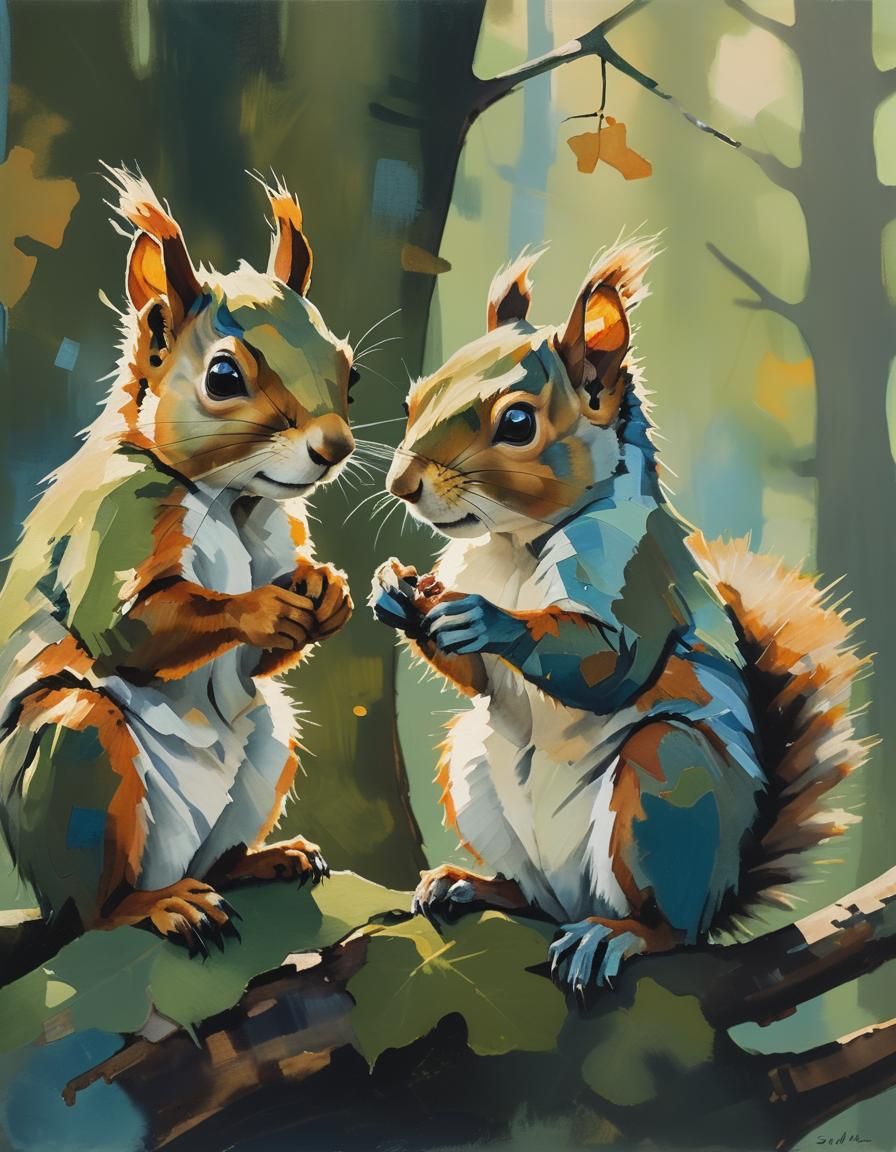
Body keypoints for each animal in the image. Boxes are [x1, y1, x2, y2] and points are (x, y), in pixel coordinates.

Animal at [0, 166, 356, 955]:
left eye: (347, 370)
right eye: (222, 377)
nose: (336, 446)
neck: (232, 502)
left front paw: (326, 593)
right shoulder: (113, 520)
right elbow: (125, 629)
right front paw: (260, 608)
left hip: (266, 750)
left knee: (217, 858)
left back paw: (263, 860)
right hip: (75, 758)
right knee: (94, 910)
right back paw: (160, 908)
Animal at [370, 242, 869, 994]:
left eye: (518, 424)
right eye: (414, 398)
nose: (403, 485)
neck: (513, 546)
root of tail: (721, 894)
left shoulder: (636, 577)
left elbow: (608, 662)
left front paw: (491, 620)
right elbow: (477, 679)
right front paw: (393, 592)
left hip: (669, 787)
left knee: (664, 925)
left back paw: (617, 936)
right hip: (474, 770)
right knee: (535, 898)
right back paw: (473, 884)